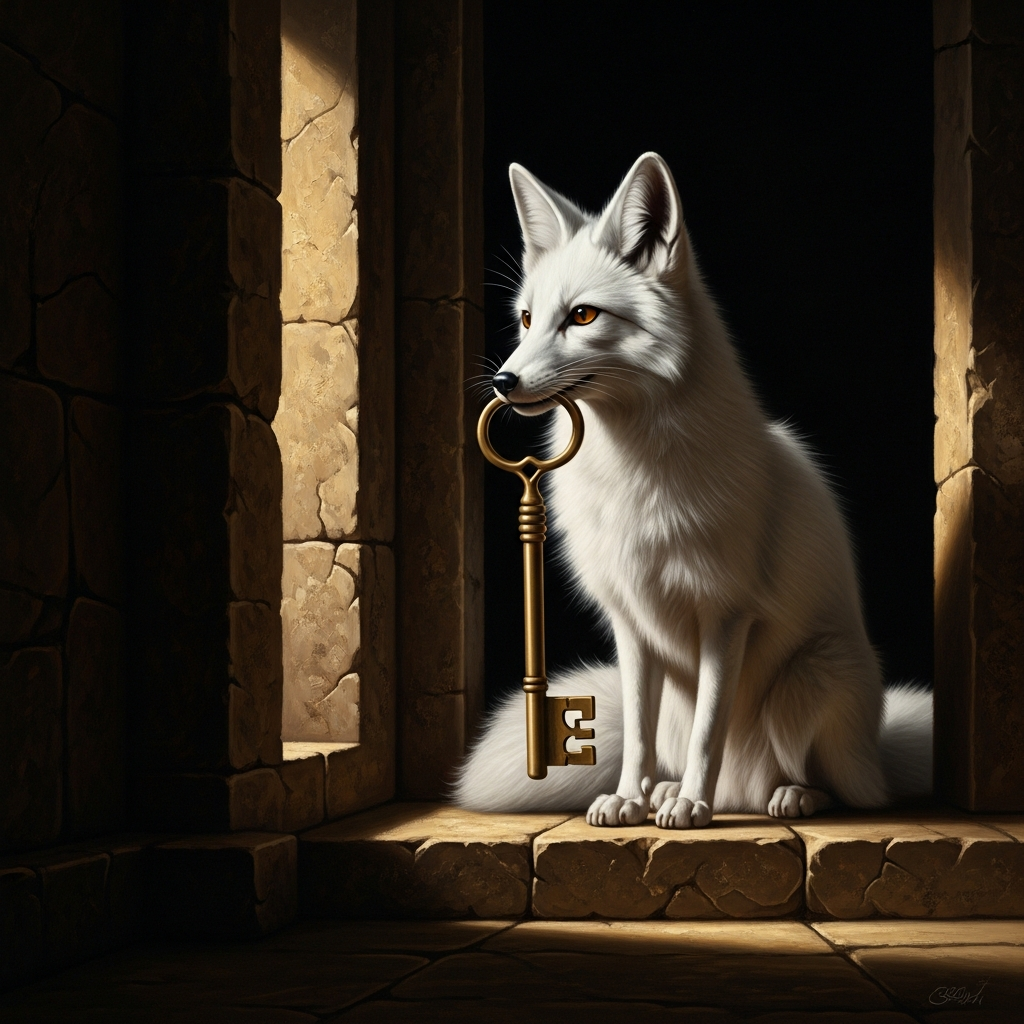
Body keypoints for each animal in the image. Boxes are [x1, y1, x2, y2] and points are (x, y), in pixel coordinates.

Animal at [454, 152, 932, 827]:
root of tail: (879, 755)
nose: (502, 380)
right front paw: (630, 798)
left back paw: (785, 796)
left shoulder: (726, 616)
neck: (634, 478)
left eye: (582, 316)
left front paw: (692, 807)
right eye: (526, 318)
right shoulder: (632, 623)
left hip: (808, 680)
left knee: (845, 790)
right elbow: (642, 732)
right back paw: (666, 789)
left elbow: (712, 724)